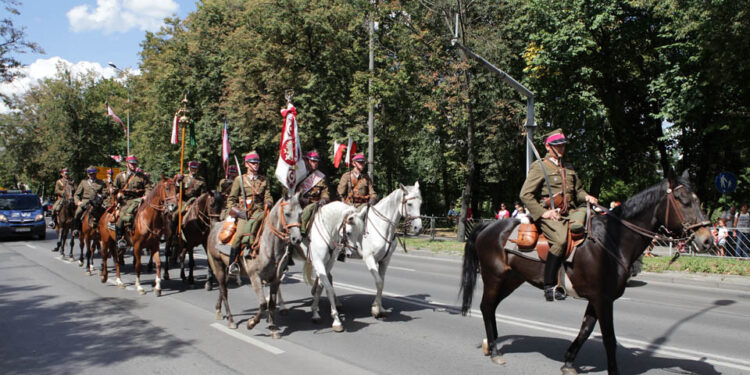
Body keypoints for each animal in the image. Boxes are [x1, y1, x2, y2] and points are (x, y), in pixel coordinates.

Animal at [207, 192, 304, 336]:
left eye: (300, 213)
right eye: (287, 213)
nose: (297, 239)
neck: (269, 246)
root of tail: (215, 226)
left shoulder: (276, 279)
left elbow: (272, 303)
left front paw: (273, 327)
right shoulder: (255, 277)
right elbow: (263, 303)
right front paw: (251, 323)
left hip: (225, 268)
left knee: (222, 287)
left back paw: (218, 310)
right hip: (217, 264)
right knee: (224, 291)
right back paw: (231, 320)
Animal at [302, 203, 368, 332]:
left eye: (360, 233)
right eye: (348, 232)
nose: (353, 253)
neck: (326, 230)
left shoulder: (328, 263)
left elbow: (320, 287)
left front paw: (315, 313)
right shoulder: (318, 262)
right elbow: (329, 288)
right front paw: (336, 320)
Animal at [362, 184, 424, 318]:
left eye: (420, 204)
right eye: (409, 204)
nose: (418, 228)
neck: (381, 225)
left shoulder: (385, 260)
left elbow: (382, 283)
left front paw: (380, 308)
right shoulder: (369, 258)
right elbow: (379, 282)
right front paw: (375, 310)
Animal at [458, 171, 716, 375]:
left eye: (697, 200)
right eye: (684, 201)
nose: (707, 240)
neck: (612, 241)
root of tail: (489, 225)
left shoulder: (597, 299)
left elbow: (585, 330)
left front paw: (568, 362)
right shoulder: (603, 300)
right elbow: (609, 340)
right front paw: (613, 371)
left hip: (512, 279)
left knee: (491, 308)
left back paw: (491, 345)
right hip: (494, 277)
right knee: (486, 307)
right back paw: (494, 351)